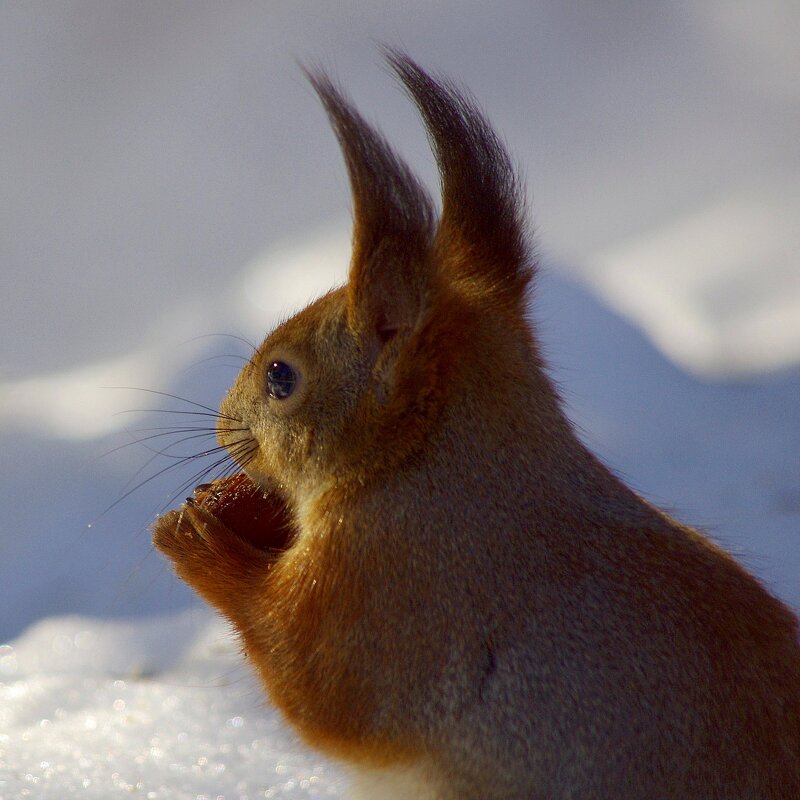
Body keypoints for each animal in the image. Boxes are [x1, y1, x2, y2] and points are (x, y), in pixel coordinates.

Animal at [152, 53, 800, 796]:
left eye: (281, 378)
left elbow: (318, 688)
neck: (431, 464)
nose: (223, 428)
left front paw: (197, 539)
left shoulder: (389, 591)